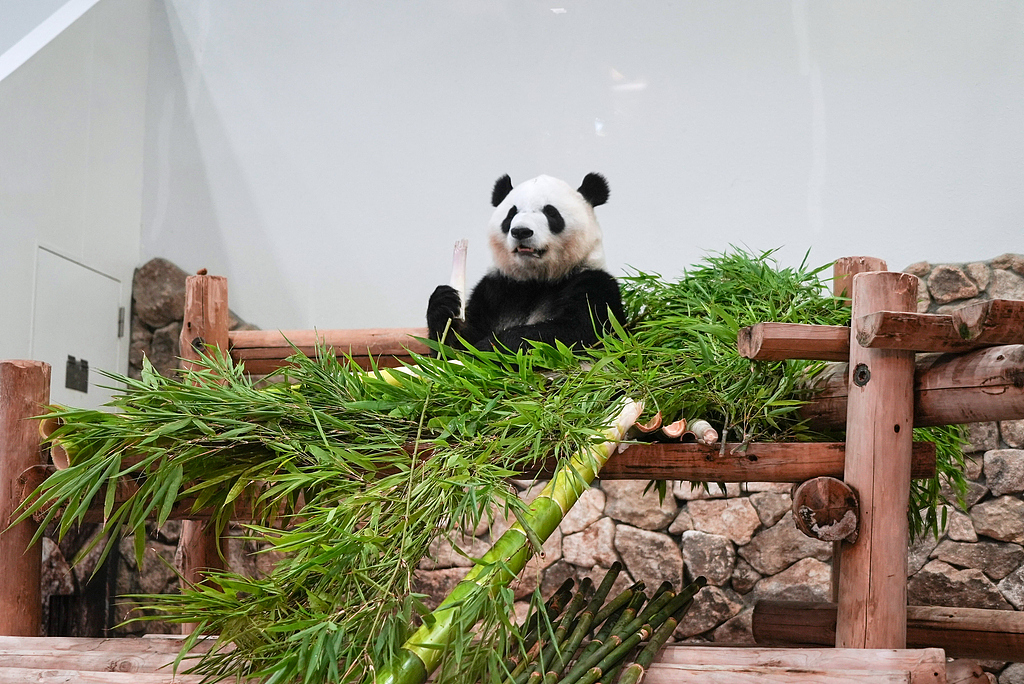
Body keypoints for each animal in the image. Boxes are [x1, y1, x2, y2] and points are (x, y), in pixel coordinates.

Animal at [426, 172, 624, 353]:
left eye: (551, 212)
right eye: (511, 214)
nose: (521, 231)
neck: (535, 280)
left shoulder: (593, 283)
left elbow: (578, 331)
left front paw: (490, 348)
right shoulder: (495, 290)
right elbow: (454, 345)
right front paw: (444, 303)